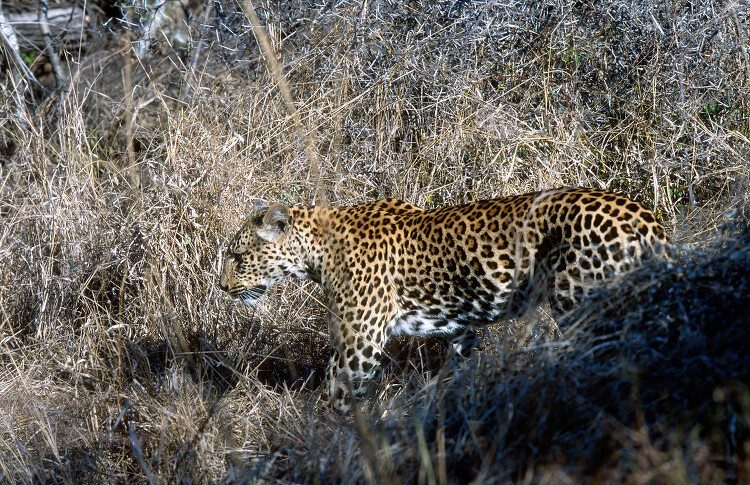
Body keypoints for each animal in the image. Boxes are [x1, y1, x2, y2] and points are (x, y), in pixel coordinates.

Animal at [217, 187, 668, 410]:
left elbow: (336, 392)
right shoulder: (459, 329)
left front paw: (323, 440)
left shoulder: (359, 340)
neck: (316, 250)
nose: (221, 288)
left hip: (583, 302)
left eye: (237, 257)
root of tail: (646, 217)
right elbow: (454, 367)